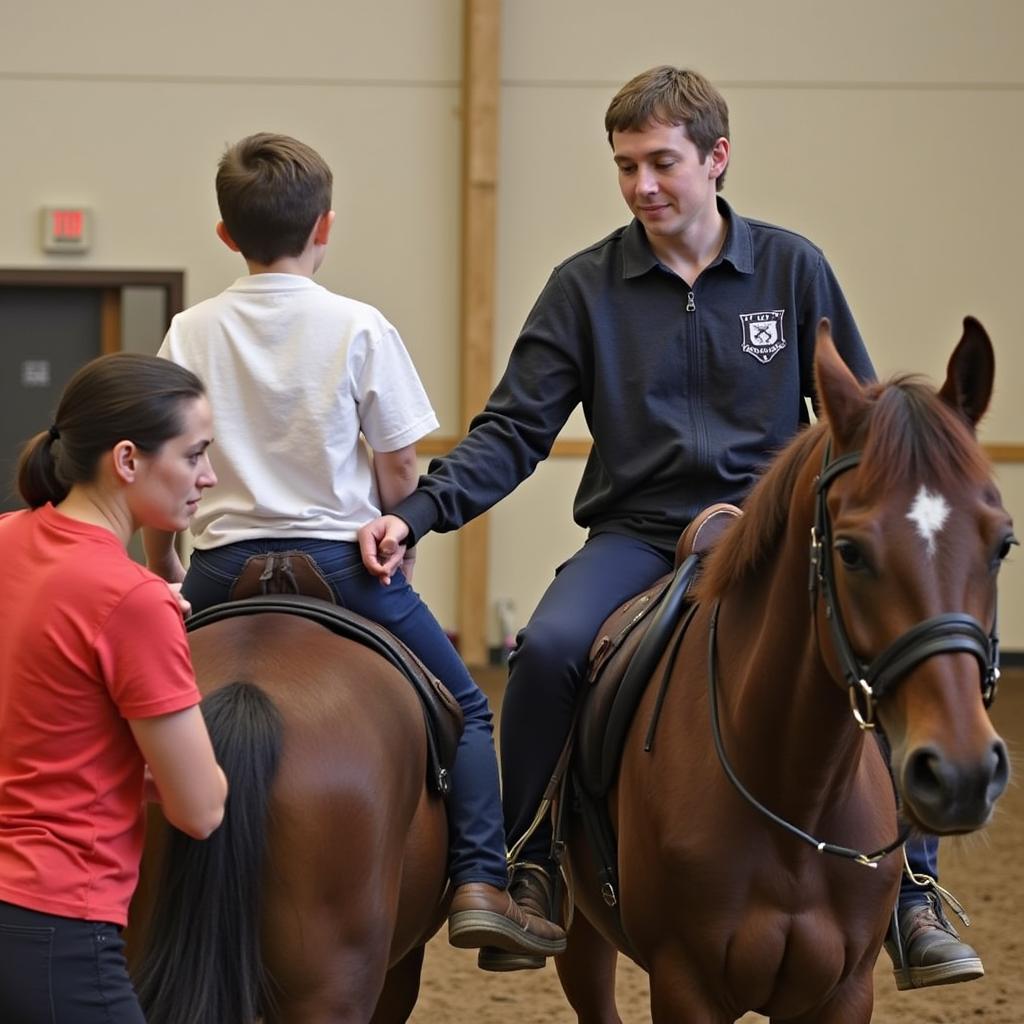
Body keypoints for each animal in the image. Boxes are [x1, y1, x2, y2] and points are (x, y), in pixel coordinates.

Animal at [557, 315, 1011, 1019]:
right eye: (849, 551)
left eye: (1001, 543)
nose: (963, 773)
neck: (796, 792)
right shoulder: (684, 984)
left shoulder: (842, 991)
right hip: (581, 929)